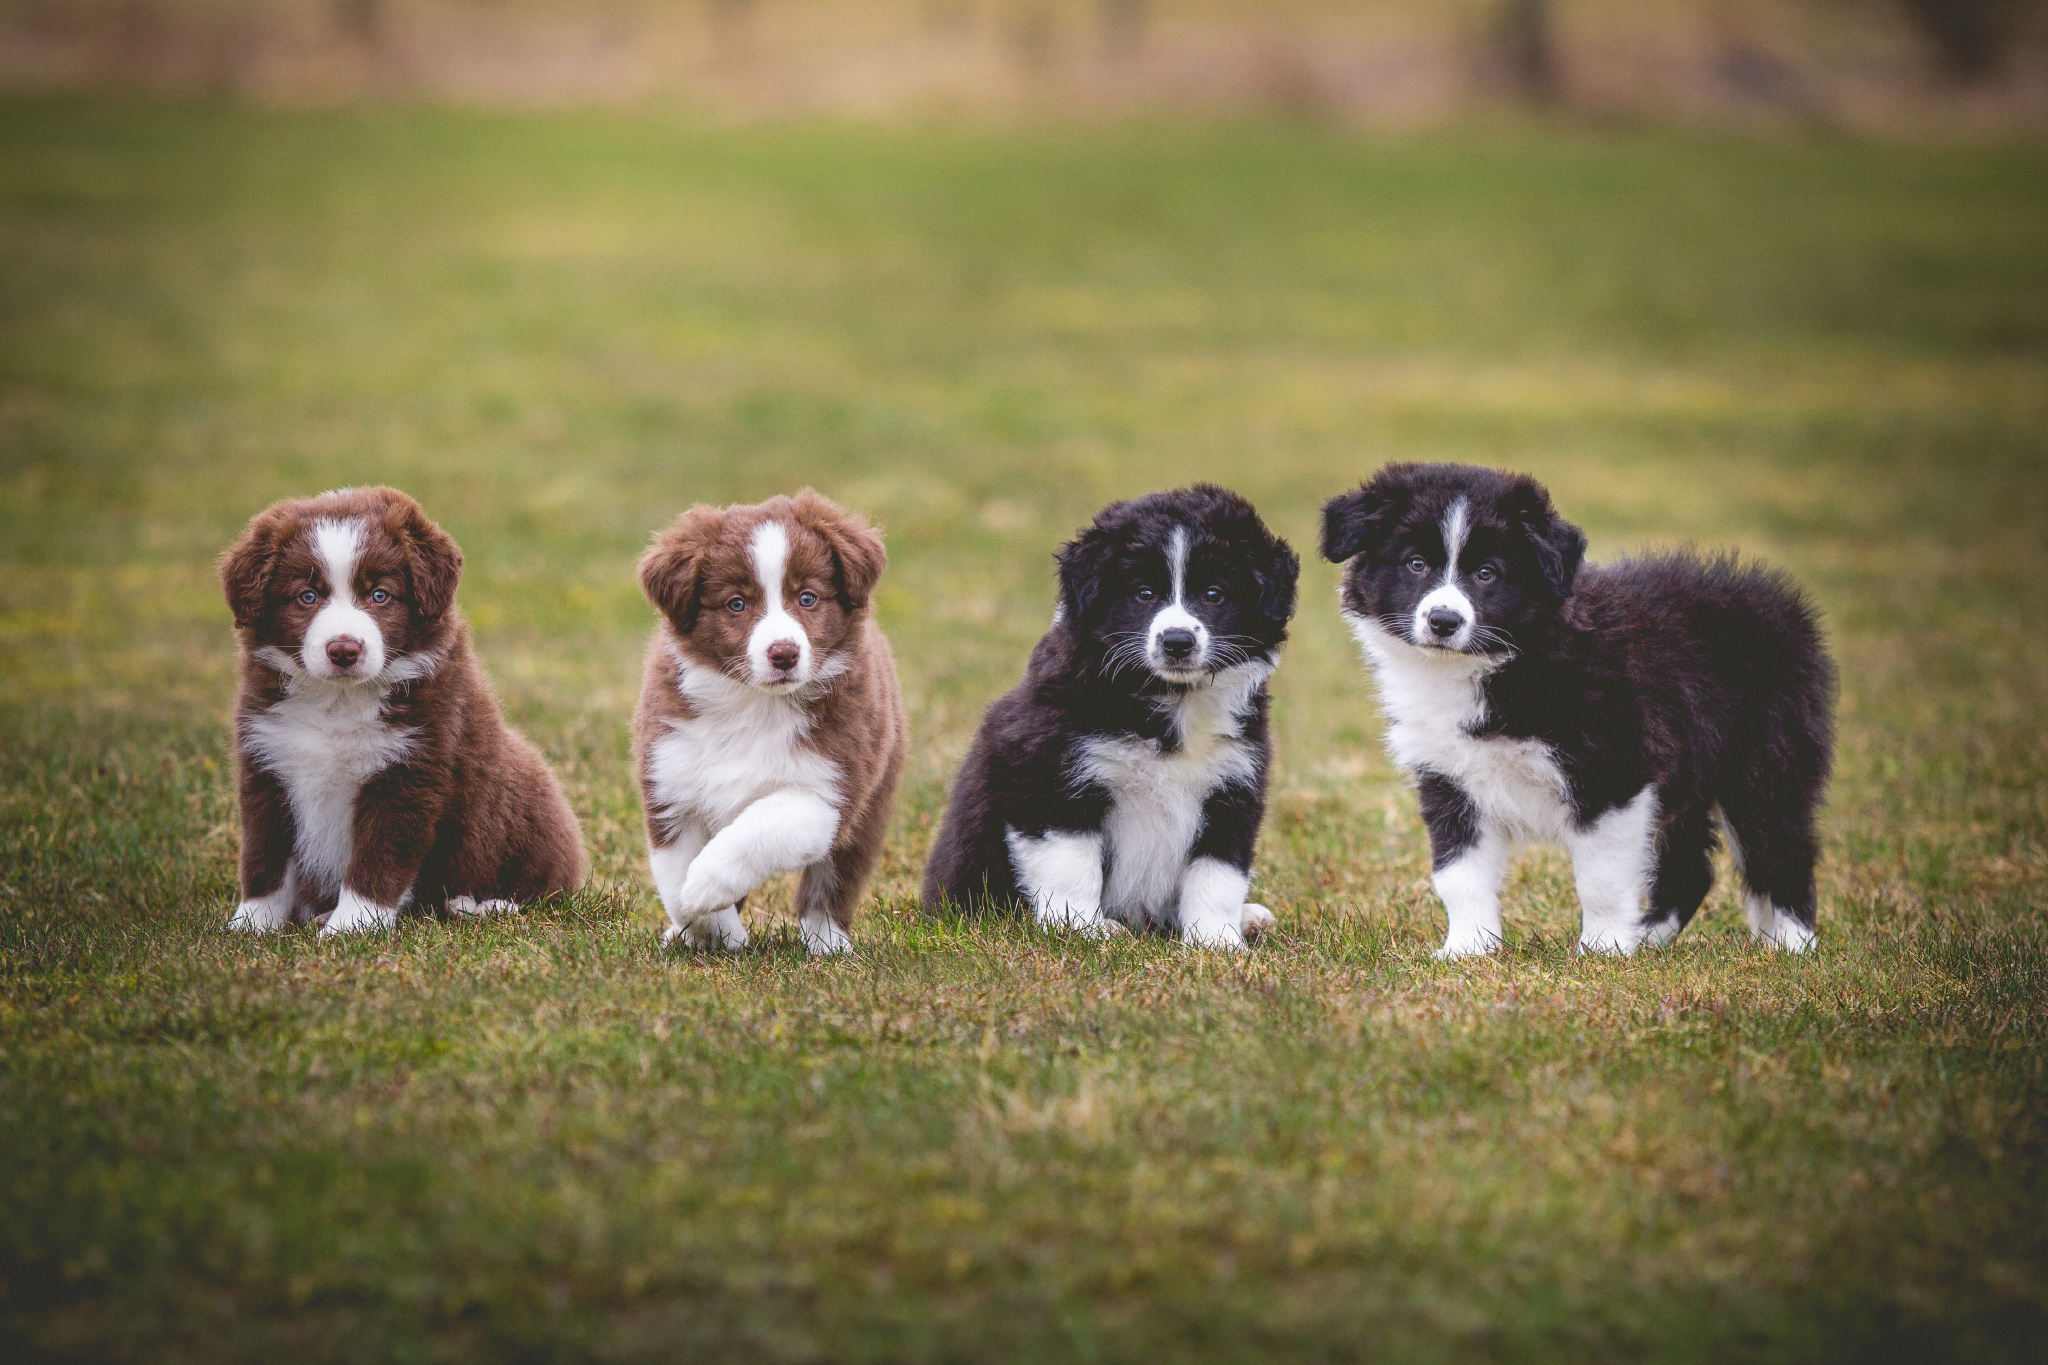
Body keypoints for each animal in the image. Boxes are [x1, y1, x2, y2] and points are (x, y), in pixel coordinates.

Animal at [217, 491, 585, 941]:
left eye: (379, 595)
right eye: (307, 596)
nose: (344, 650)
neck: (338, 702)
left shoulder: (409, 773)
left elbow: (377, 862)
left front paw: (349, 928)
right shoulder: (267, 766)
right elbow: (265, 858)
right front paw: (250, 925)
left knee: (541, 889)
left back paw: (483, 905)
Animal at [630, 489, 905, 949]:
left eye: (808, 598)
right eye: (736, 604)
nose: (784, 653)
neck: (755, 704)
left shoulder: (828, 788)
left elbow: (760, 828)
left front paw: (703, 884)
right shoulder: (671, 780)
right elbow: (673, 878)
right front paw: (714, 931)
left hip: (872, 803)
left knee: (831, 881)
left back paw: (828, 942)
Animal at [925, 482, 1294, 949]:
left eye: (1215, 594)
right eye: (1143, 593)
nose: (1177, 642)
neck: (1169, 701)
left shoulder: (1233, 787)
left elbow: (1218, 875)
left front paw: (1218, 943)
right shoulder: (1049, 781)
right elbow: (1071, 869)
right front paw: (1084, 932)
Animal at [1327, 466, 1843, 961]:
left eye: (1488, 573)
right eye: (1416, 564)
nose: (1443, 621)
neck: (1498, 663)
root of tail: (1783, 608)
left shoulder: (1613, 773)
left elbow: (1601, 879)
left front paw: (1603, 950)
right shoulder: (1449, 779)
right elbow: (1458, 874)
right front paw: (1467, 951)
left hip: (1764, 763)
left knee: (1781, 852)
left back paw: (1792, 948)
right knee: (1690, 869)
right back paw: (1648, 938)